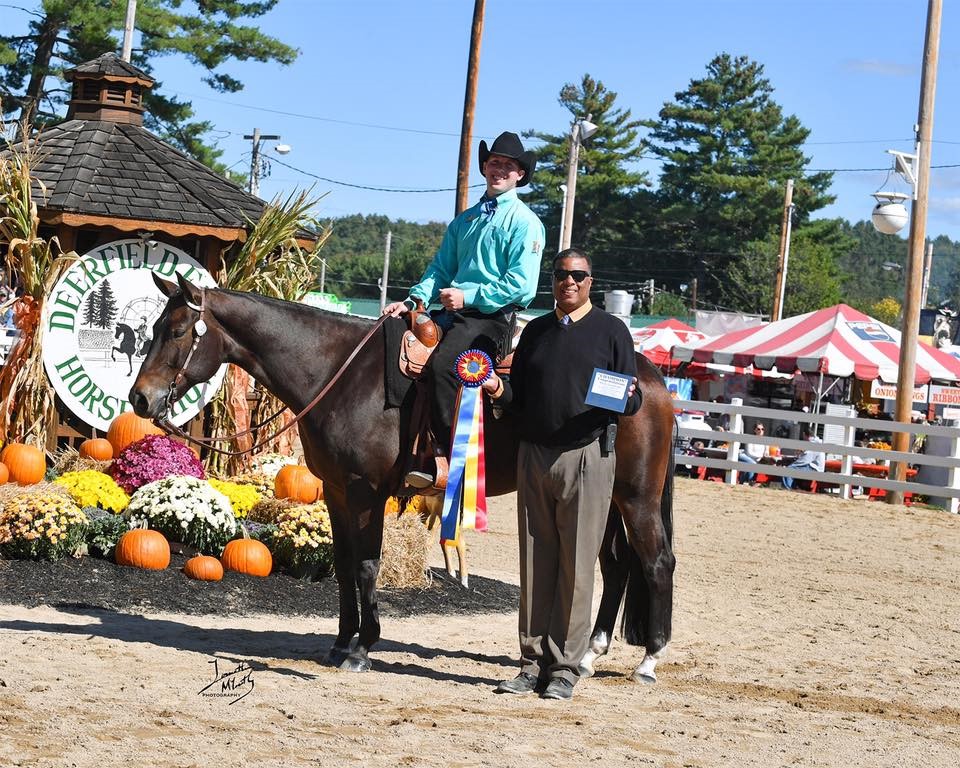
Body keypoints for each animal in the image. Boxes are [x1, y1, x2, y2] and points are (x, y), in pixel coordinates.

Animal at [131, 272, 680, 680]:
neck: (339, 373)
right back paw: (588, 656)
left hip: (636, 496)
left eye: (177, 331)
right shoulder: (337, 492)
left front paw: (362, 648)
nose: (140, 398)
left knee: (656, 562)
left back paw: (649, 660)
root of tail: (648, 379)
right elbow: (344, 566)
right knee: (616, 565)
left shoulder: (366, 492)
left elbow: (367, 565)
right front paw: (340, 642)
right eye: (154, 327)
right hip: (608, 498)